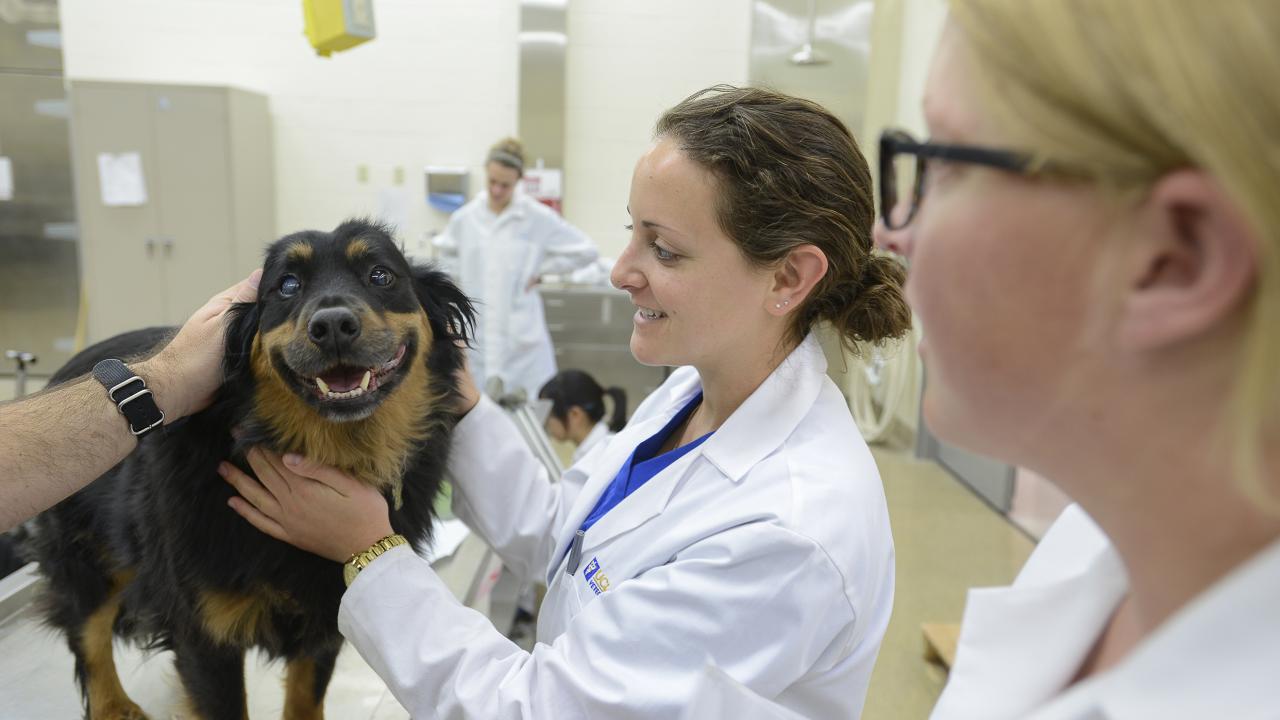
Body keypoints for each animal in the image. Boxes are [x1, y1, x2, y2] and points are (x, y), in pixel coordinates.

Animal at [31, 220, 476, 717]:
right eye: (287, 285)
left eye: (381, 275)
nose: (333, 326)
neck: (336, 450)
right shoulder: (205, 632)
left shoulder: (328, 616)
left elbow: (305, 699)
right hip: (86, 558)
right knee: (87, 633)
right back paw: (114, 704)